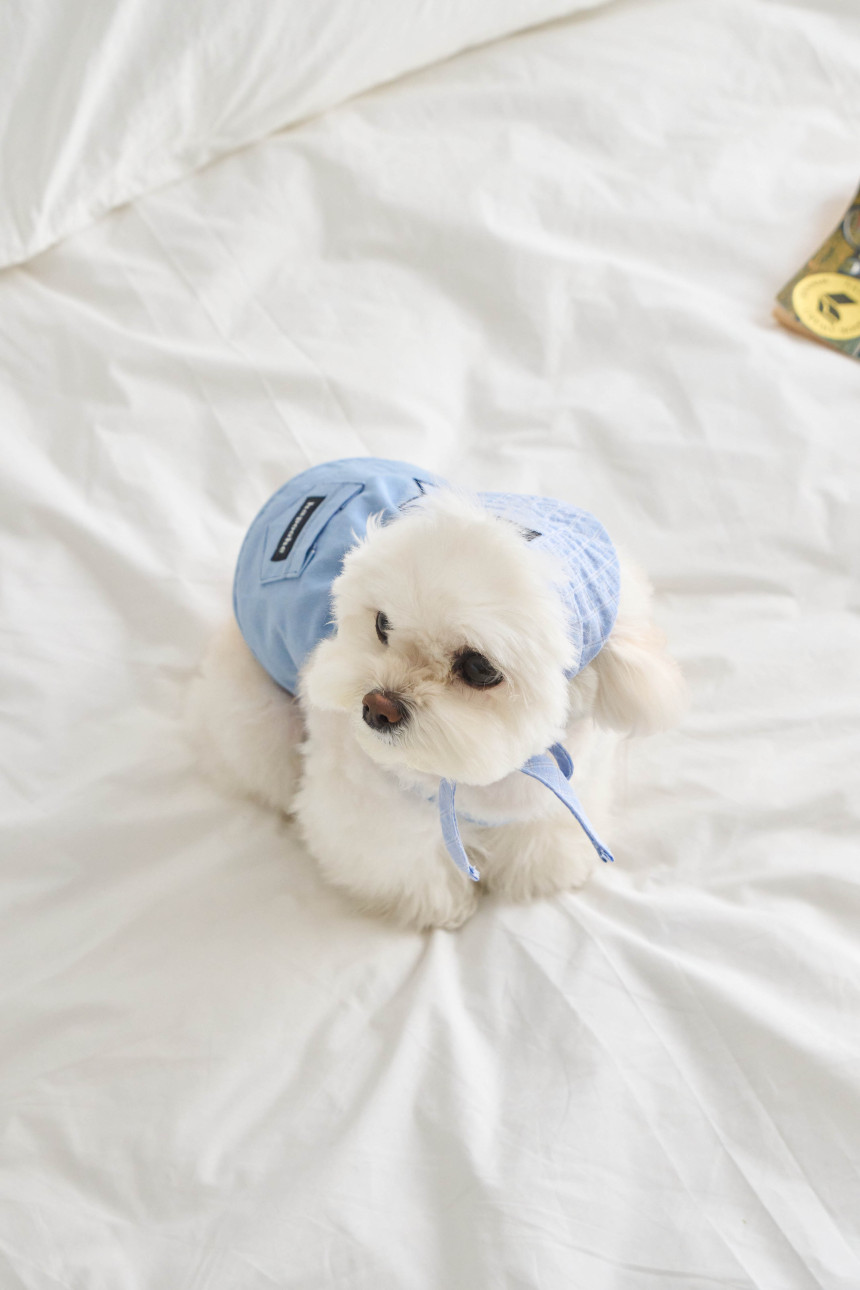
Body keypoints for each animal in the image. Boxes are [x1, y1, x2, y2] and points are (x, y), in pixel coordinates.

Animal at [189, 458, 685, 930]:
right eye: (382, 623)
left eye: (479, 668)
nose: (376, 708)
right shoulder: (372, 798)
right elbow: (404, 856)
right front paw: (438, 907)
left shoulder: (556, 787)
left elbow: (540, 832)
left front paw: (534, 876)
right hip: (252, 709)